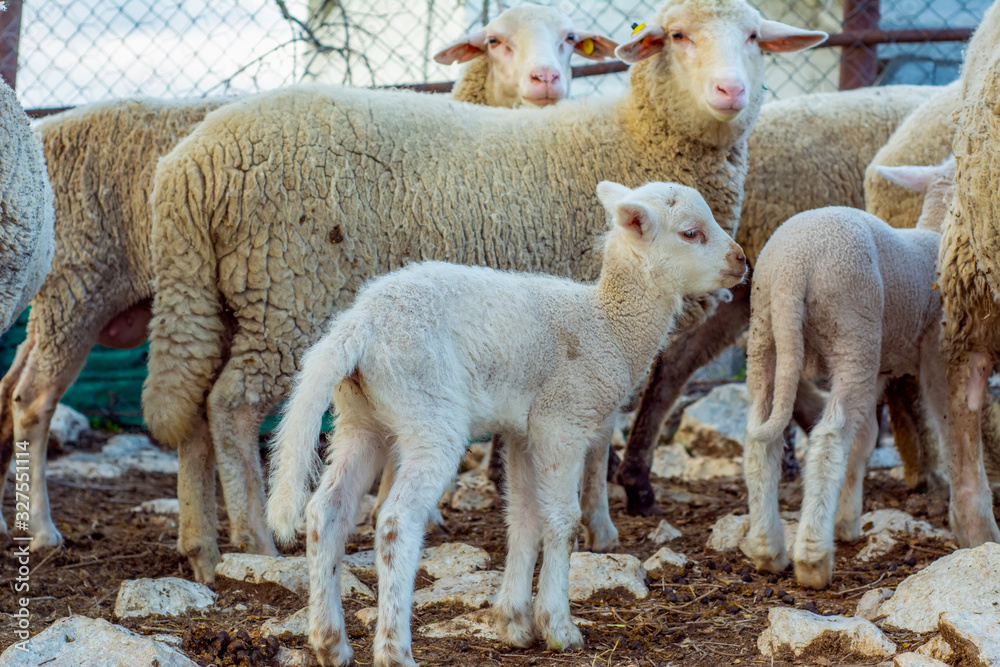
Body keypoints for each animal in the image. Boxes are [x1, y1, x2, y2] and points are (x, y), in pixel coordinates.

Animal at [267, 180, 747, 667]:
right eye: (690, 233)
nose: (742, 260)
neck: (607, 326)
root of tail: (359, 326)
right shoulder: (562, 421)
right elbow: (563, 521)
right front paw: (559, 627)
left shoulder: (523, 433)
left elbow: (523, 518)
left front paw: (514, 624)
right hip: (429, 412)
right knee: (396, 522)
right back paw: (394, 650)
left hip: (362, 420)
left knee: (326, 512)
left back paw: (330, 642)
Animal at [742, 161, 954, 589]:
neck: (934, 232)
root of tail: (793, 268)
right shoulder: (930, 348)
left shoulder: (879, 369)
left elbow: (866, 439)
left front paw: (846, 521)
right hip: (851, 329)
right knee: (828, 438)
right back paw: (812, 558)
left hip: (765, 336)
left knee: (760, 440)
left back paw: (768, 550)